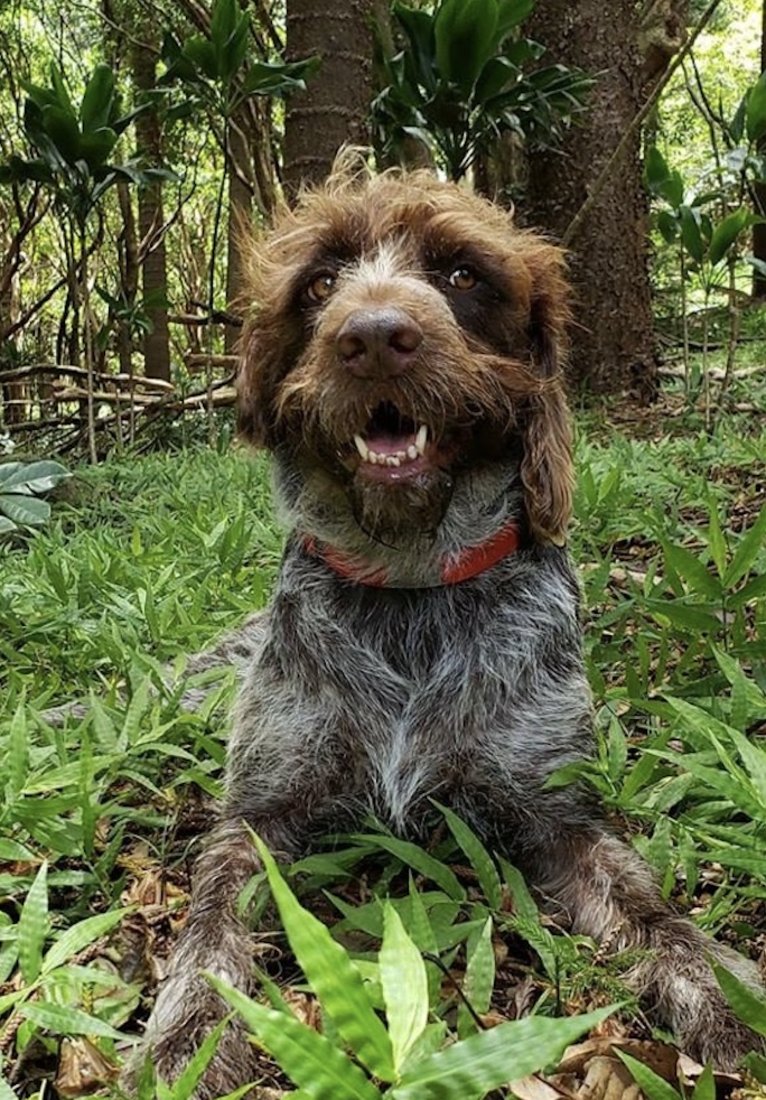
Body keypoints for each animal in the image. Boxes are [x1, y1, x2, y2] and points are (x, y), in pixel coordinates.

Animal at [140, 160, 761, 1091]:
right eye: (319, 283)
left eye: (463, 274)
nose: (372, 337)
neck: (412, 586)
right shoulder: (259, 815)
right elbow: (211, 930)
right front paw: (191, 1037)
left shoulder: (559, 814)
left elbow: (651, 908)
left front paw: (721, 992)